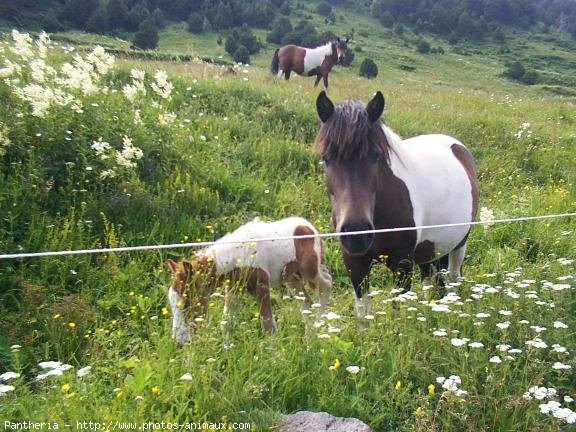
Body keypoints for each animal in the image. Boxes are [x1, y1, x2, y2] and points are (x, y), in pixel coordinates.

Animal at [164, 216, 330, 344]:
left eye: (187, 302)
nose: (179, 342)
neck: (239, 255)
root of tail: (308, 226)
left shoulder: (262, 286)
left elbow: (268, 325)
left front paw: (275, 359)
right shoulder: (233, 289)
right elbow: (227, 322)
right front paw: (227, 354)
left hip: (309, 270)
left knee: (327, 282)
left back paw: (319, 324)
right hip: (291, 278)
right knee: (307, 304)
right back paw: (309, 340)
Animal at [312, 91, 480, 320]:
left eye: (376, 156)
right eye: (326, 158)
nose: (357, 233)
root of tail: (456, 145)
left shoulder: (403, 262)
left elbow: (398, 311)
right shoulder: (354, 261)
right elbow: (363, 312)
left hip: (459, 244)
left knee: (454, 277)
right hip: (429, 250)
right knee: (430, 281)